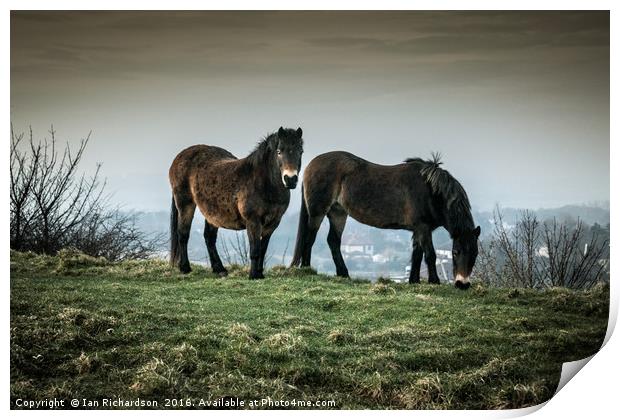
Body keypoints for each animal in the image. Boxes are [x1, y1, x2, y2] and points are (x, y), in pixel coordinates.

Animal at [168, 128, 304, 278]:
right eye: (279, 151)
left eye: (300, 151)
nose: (290, 179)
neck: (263, 183)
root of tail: (180, 156)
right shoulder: (253, 221)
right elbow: (255, 249)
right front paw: (253, 275)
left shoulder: (273, 223)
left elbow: (262, 249)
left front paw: (260, 273)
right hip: (185, 204)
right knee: (183, 234)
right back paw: (185, 267)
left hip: (212, 213)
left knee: (209, 238)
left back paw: (219, 269)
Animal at [290, 153, 480, 290]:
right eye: (455, 252)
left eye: (475, 253)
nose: (462, 284)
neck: (431, 192)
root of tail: (310, 166)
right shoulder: (423, 228)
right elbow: (430, 255)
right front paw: (434, 282)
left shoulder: (418, 230)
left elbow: (417, 255)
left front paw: (414, 281)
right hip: (318, 212)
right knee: (310, 238)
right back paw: (307, 269)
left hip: (338, 214)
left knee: (333, 241)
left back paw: (344, 274)